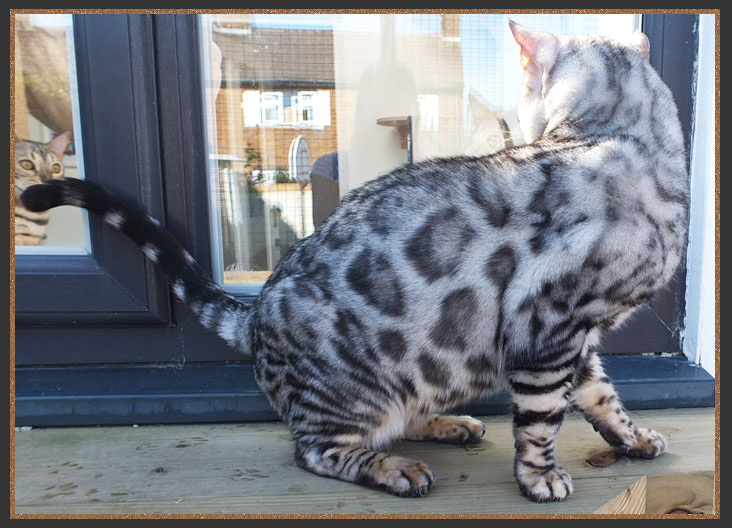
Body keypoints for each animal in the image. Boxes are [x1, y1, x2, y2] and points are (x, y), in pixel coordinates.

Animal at [20, 22, 688, 504]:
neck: (622, 141)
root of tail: (255, 313)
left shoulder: (577, 337)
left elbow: (601, 396)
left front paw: (632, 437)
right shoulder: (546, 327)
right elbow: (543, 419)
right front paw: (539, 477)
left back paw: (447, 425)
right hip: (357, 393)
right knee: (316, 449)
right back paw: (396, 468)